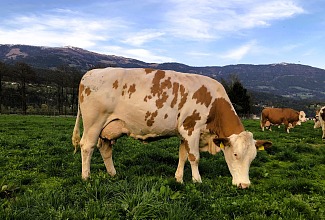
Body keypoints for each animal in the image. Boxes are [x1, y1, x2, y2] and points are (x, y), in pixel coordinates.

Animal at [71, 68, 270, 188]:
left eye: (253, 158)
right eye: (235, 154)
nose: (245, 185)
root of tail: (90, 73)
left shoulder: (184, 133)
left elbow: (183, 156)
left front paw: (179, 179)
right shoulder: (191, 129)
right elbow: (194, 157)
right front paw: (197, 180)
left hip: (109, 128)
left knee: (104, 149)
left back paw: (113, 174)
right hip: (94, 123)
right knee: (87, 146)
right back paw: (86, 177)